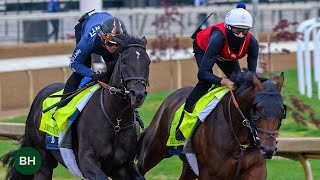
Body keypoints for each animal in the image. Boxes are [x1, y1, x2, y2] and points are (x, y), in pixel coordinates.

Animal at [1, 35, 151, 179]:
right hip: (42, 162)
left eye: (148, 62)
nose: (137, 94)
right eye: (124, 61)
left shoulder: (123, 166)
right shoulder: (87, 162)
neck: (116, 120)